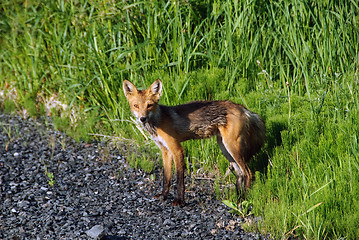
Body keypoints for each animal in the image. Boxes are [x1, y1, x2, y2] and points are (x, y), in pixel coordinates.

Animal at [124, 79, 268, 206]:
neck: (158, 122)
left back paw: (244, 200)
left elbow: (179, 179)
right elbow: (166, 177)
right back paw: (238, 198)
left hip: (232, 147)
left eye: (149, 105)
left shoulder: (177, 150)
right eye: (136, 106)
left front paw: (179, 201)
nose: (142, 118)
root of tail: (243, 108)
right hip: (225, 148)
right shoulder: (165, 151)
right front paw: (163, 196)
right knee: (240, 174)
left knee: (248, 173)